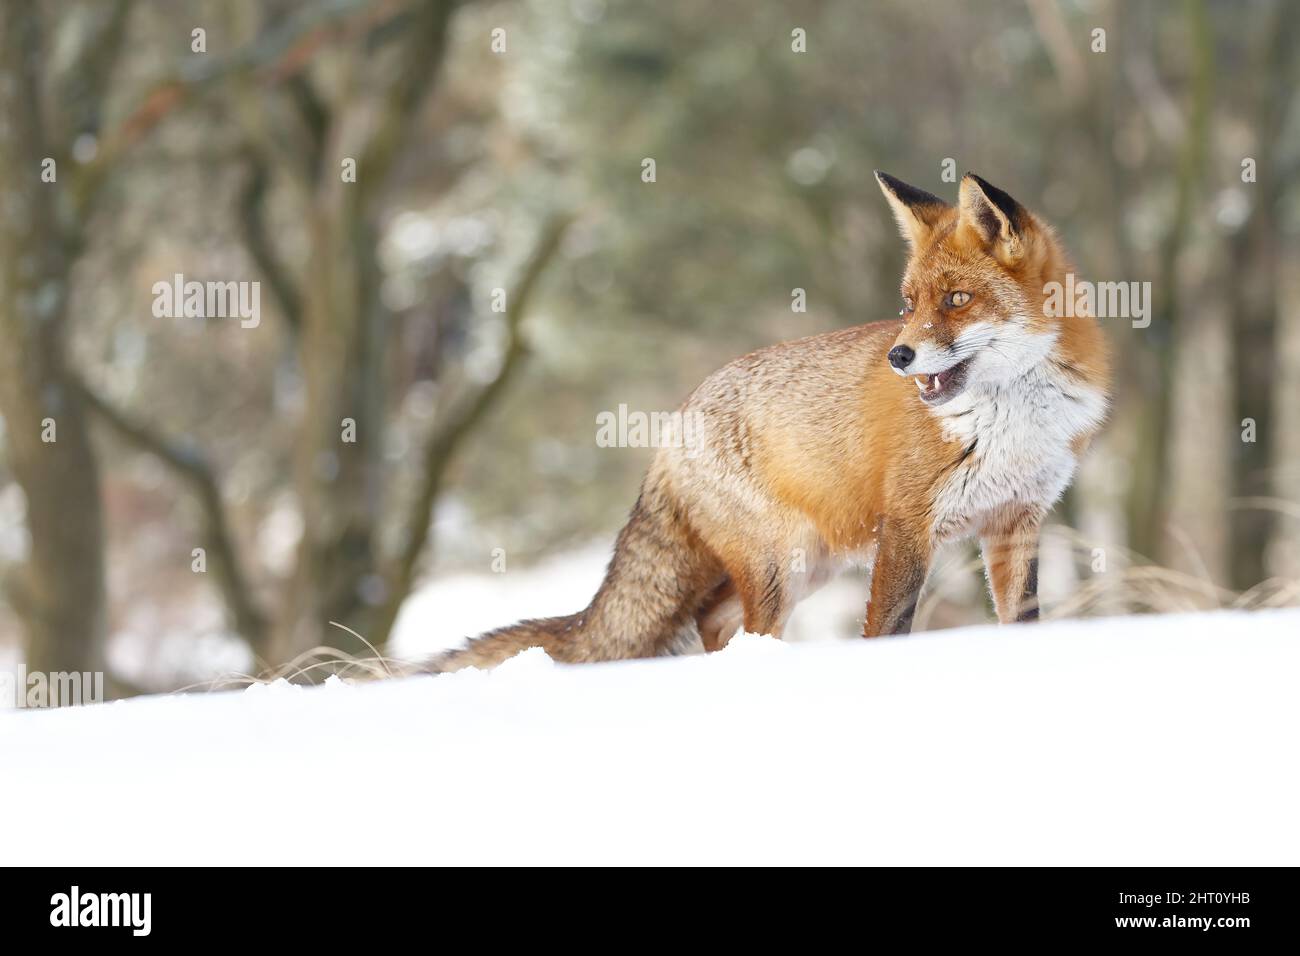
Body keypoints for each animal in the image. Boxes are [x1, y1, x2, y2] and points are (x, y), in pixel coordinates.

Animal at [431, 172, 1110, 671]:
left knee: (714, 619)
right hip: (782, 565)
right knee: (735, 626)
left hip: (810, 564)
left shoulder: (1016, 521)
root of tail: (674, 424)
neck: (1009, 422)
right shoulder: (908, 525)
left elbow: (1022, 621)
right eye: (909, 303)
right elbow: (888, 629)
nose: (898, 356)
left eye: (958, 300)